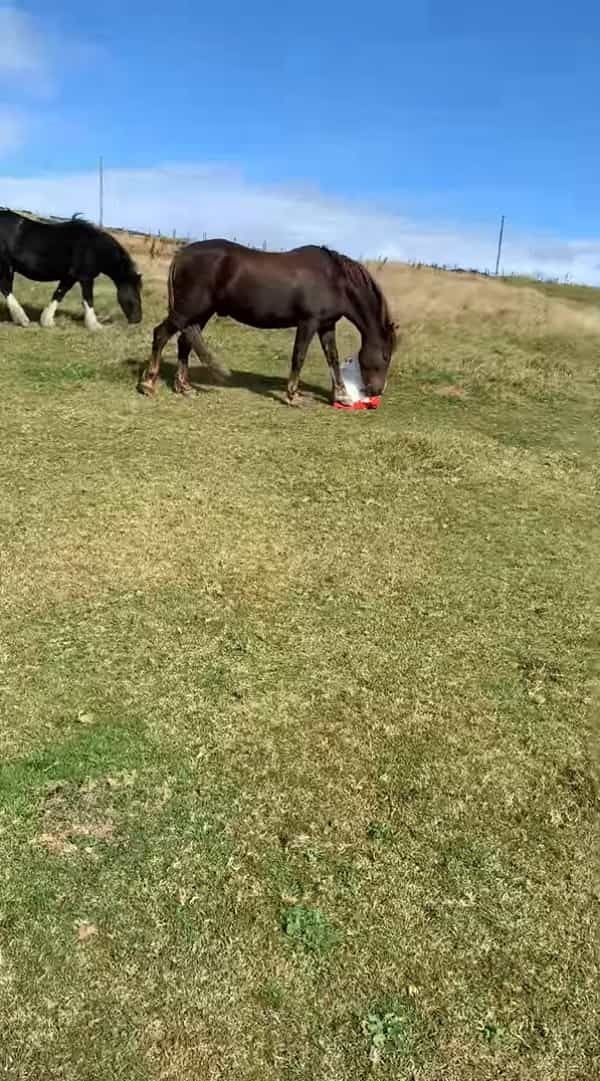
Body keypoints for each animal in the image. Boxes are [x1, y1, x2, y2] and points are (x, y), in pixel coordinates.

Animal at [0, 208, 142, 326]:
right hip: (6, 266)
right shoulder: (86, 277)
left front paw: (47, 320)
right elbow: (88, 299)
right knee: (6, 288)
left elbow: (59, 294)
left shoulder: (70, 277)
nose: (138, 320)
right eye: (135, 292)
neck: (94, 248)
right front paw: (94, 325)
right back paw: (22, 319)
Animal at [140, 238, 399, 404]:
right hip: (187, 311)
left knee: (184, 342)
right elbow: (299, 357)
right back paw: (148, 385)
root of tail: (182, 254)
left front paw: (342, 395)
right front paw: (293, 396)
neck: (335, 279)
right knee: (161, 334)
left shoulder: (326, 325)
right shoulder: (308, 322)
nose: (377, 390)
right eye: (386, 356)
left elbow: (332, 358)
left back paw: (184, 388)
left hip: (200, 313)